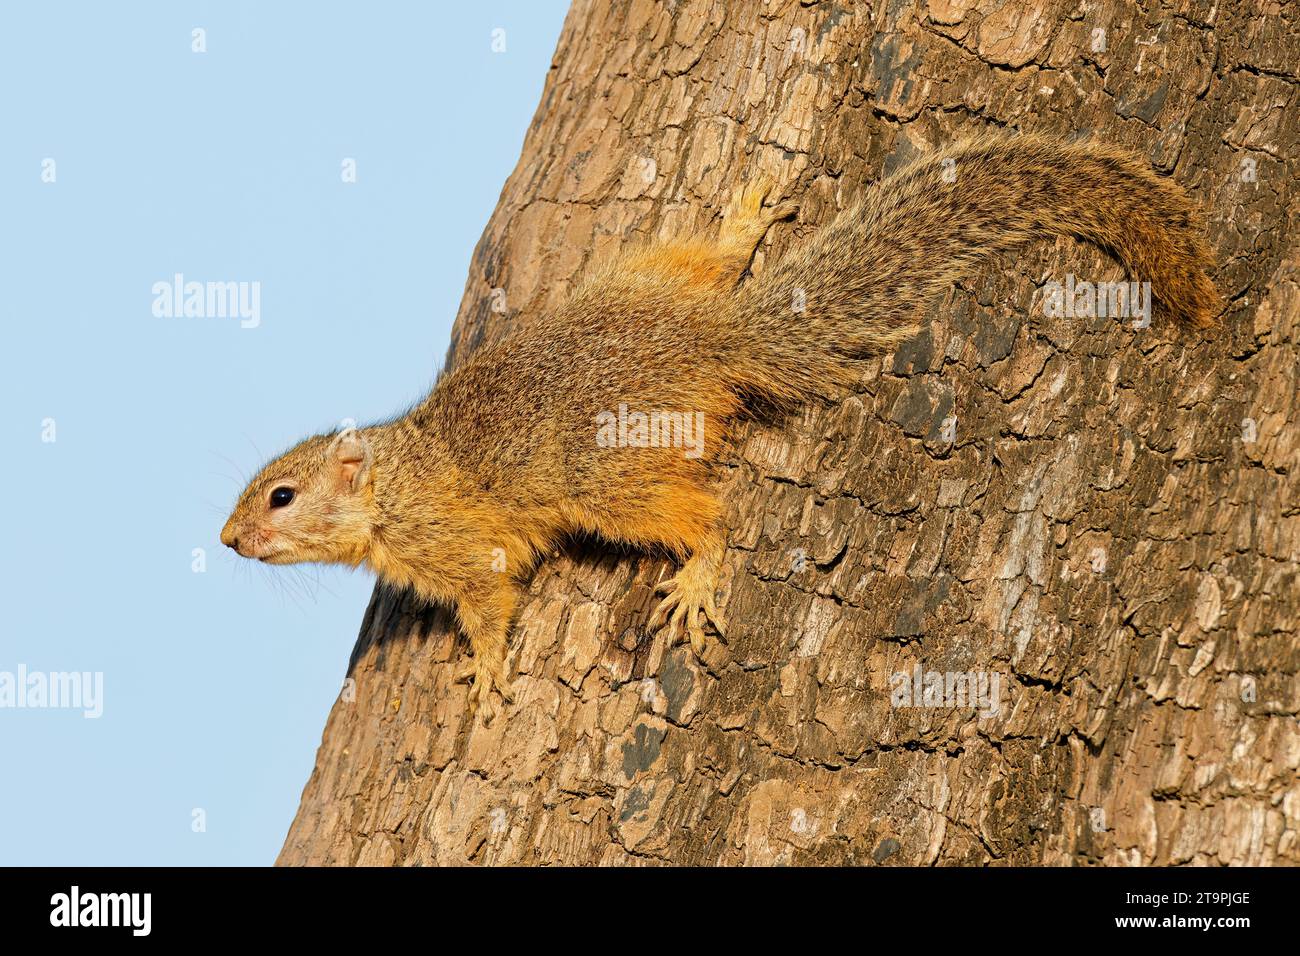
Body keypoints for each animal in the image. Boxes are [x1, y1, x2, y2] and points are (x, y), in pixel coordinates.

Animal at [218, 132, 1222, 717]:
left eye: (281, 495)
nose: (227, 540)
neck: (395, 482)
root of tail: (712, 340)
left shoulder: (464, 546)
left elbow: (493, 604)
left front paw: (489, 669)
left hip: (610, 477)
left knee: (705, 516)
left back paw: (697, 577)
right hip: (646, 276)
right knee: (707, 264)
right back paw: (742, 225)